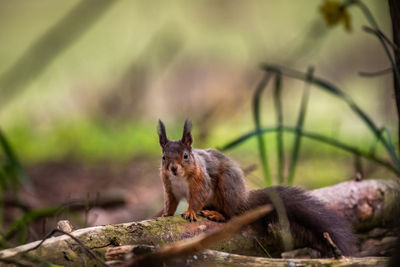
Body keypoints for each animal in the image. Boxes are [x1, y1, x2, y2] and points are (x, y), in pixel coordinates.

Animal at [156, 120, 354, 258]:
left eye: (186, 156)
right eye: (163, 157)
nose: (173, 169)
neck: (179, 178)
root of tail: (243, 198)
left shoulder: (201, 180)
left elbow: (198, 196)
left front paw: (190, 212)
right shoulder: (169, 187)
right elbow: (171, 202)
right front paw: (164, 215)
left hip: (227, 187)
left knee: (231, 214)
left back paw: (217, 214)